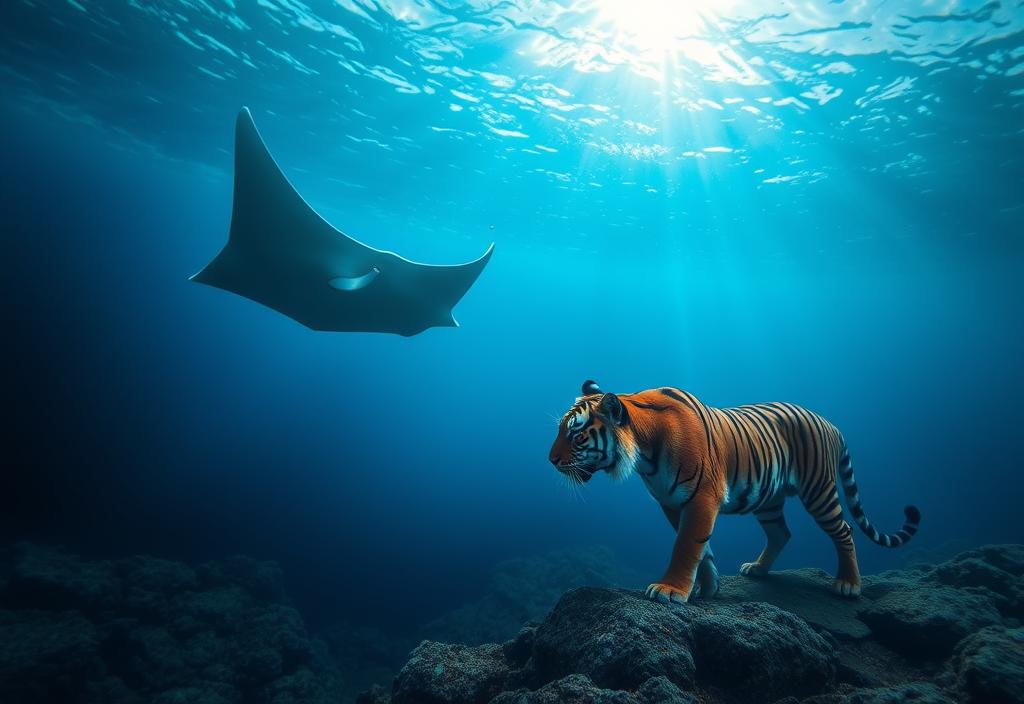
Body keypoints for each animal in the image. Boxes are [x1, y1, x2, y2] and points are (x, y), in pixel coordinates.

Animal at [548, 382, 925, 601]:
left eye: (576, 434)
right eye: (560, 430)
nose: (551, 460)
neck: (645, 453)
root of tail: (831, 424)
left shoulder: (702, 497)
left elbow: (687, 546)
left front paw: (669, 590)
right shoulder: (672, 502)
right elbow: (702, 549)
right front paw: (708, 588)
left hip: (819, 490)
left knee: (844, 529)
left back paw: (848, 584)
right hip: (769, 500)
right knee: (781, 533)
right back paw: (757, 568)